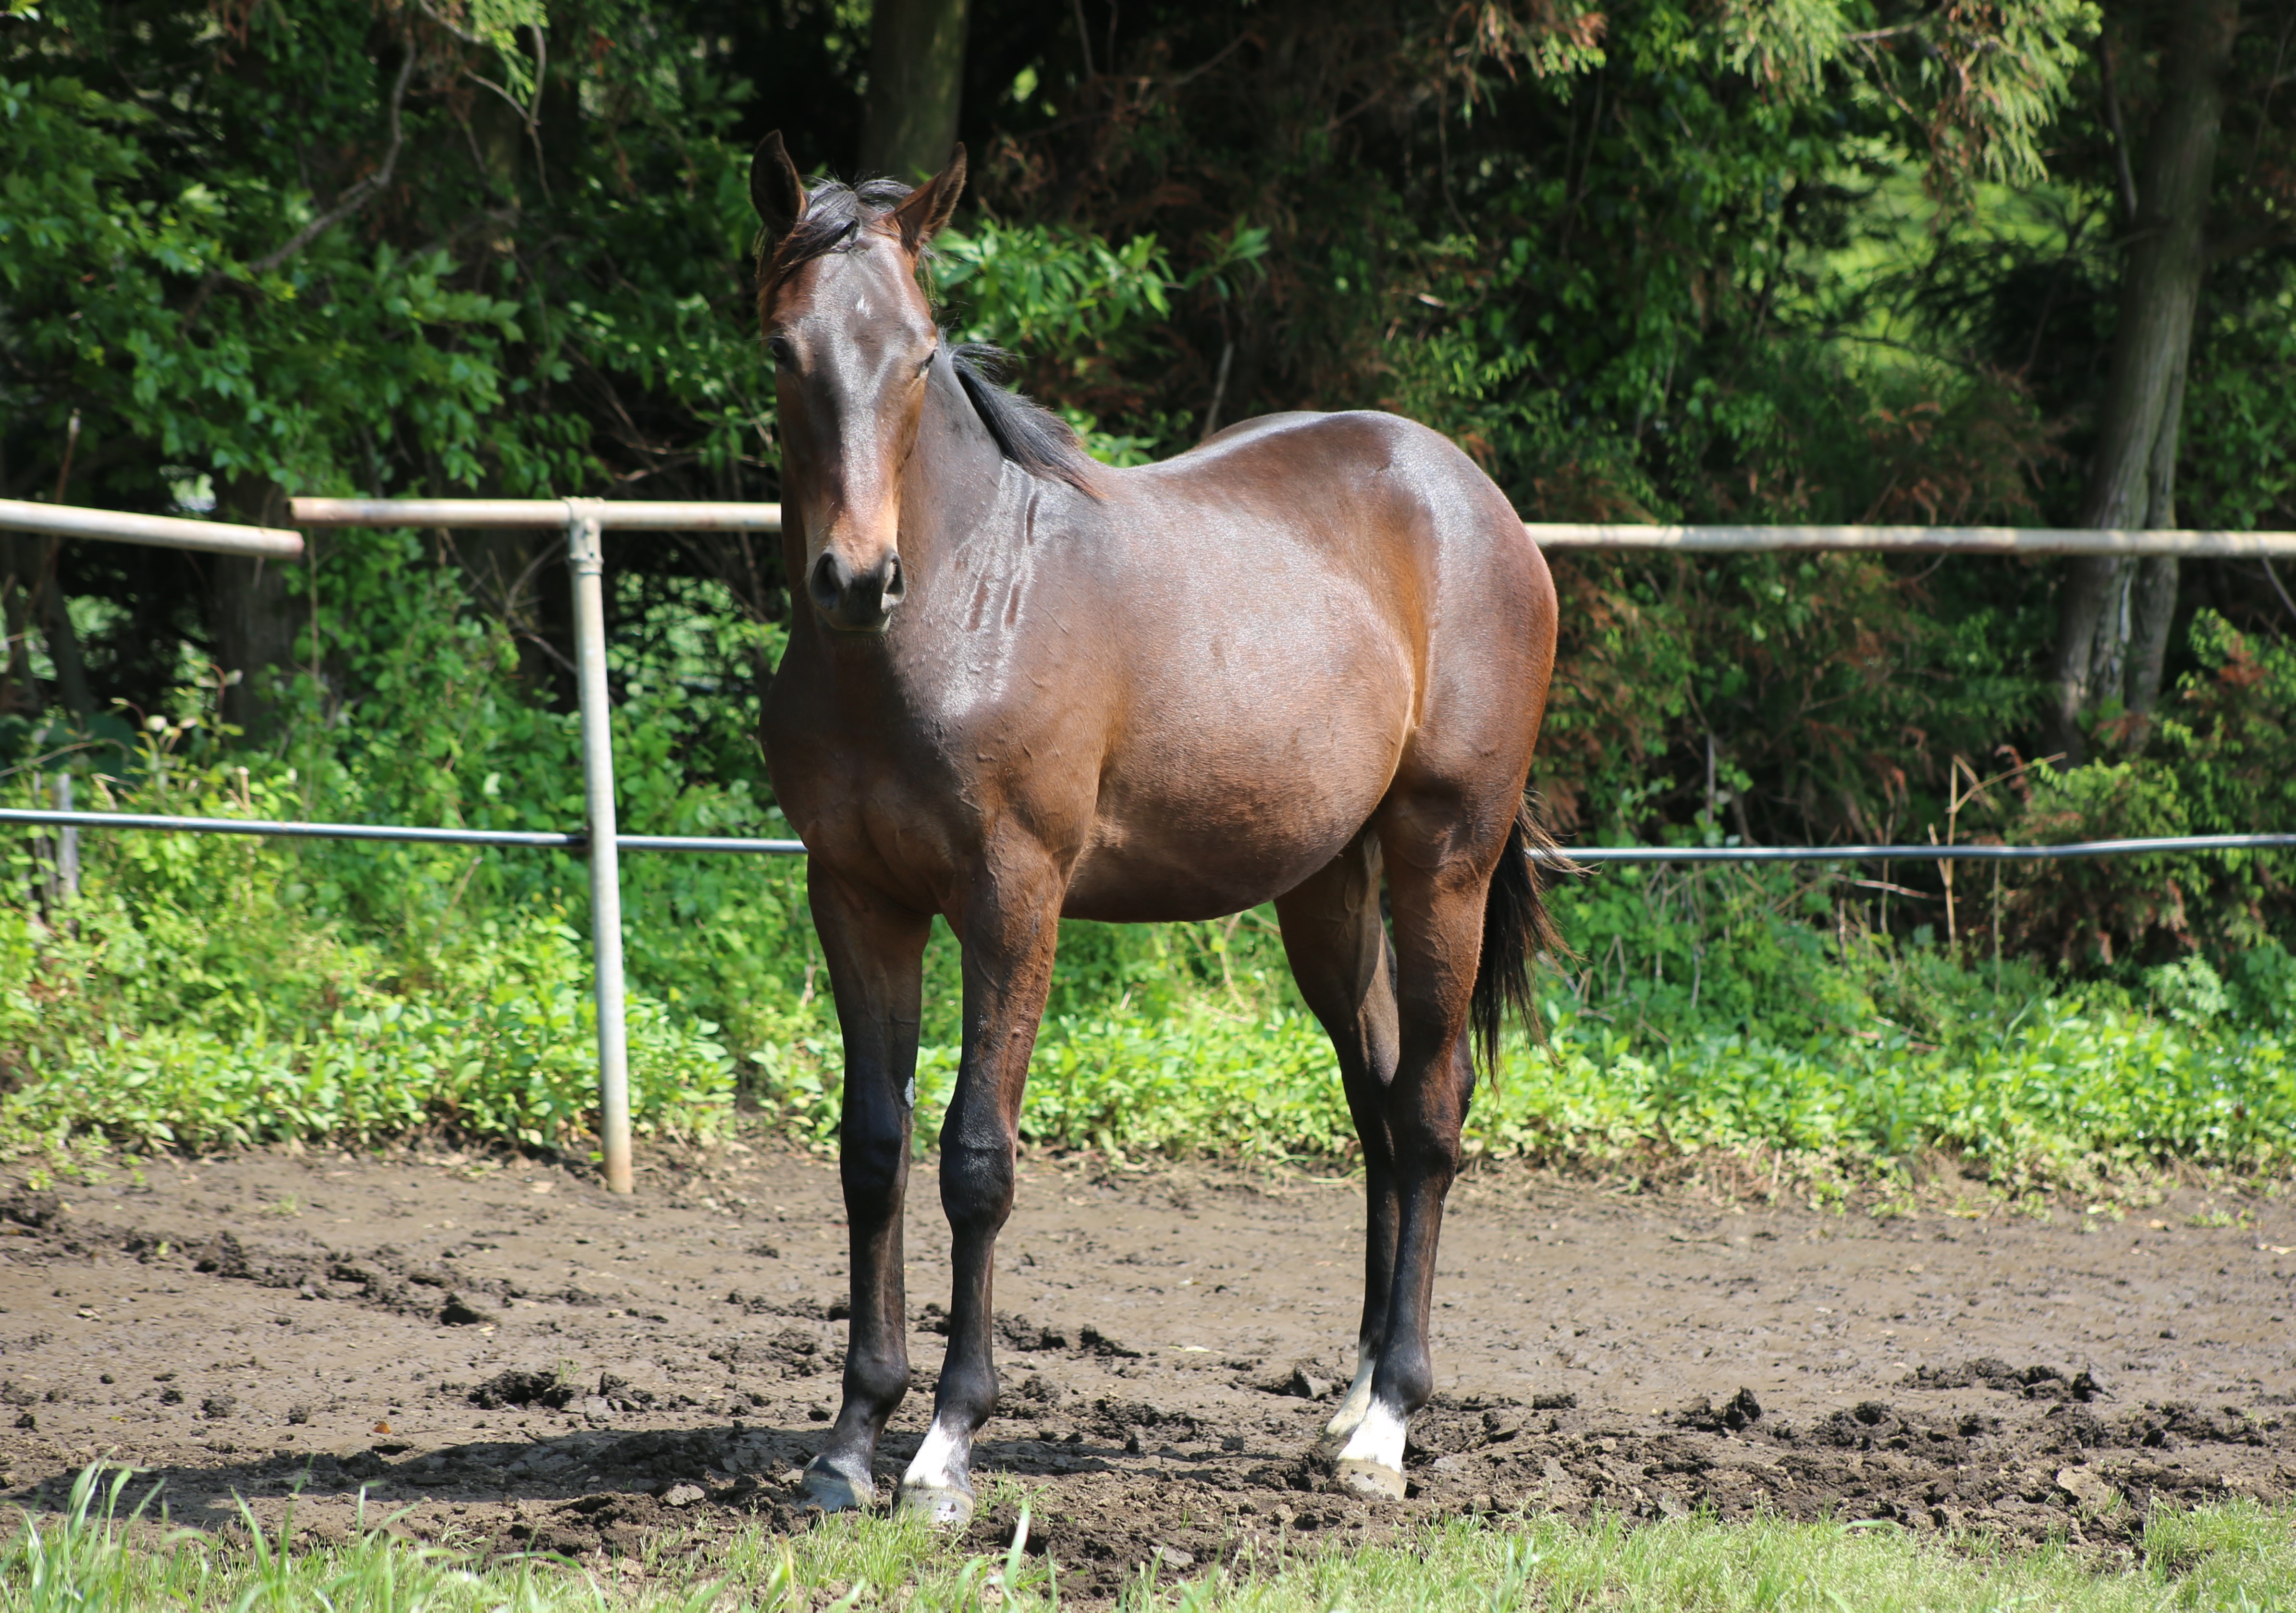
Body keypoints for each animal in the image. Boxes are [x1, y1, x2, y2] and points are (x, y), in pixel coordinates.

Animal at [753, 129, 1561, 1523]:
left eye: (918, 352)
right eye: (784, 347)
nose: (856, 578)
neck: (955, 609)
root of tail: (1469, 495)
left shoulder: (1012, 898)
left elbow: (975, 1156)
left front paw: (946, 1448)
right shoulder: (854, 893)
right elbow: (871, 1149)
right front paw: (849, 1440)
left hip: (1440, 860)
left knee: (1429, 1110)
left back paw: (1386, 1423)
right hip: (1325, 891)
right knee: (1376, 1099)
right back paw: (1348, 1394)